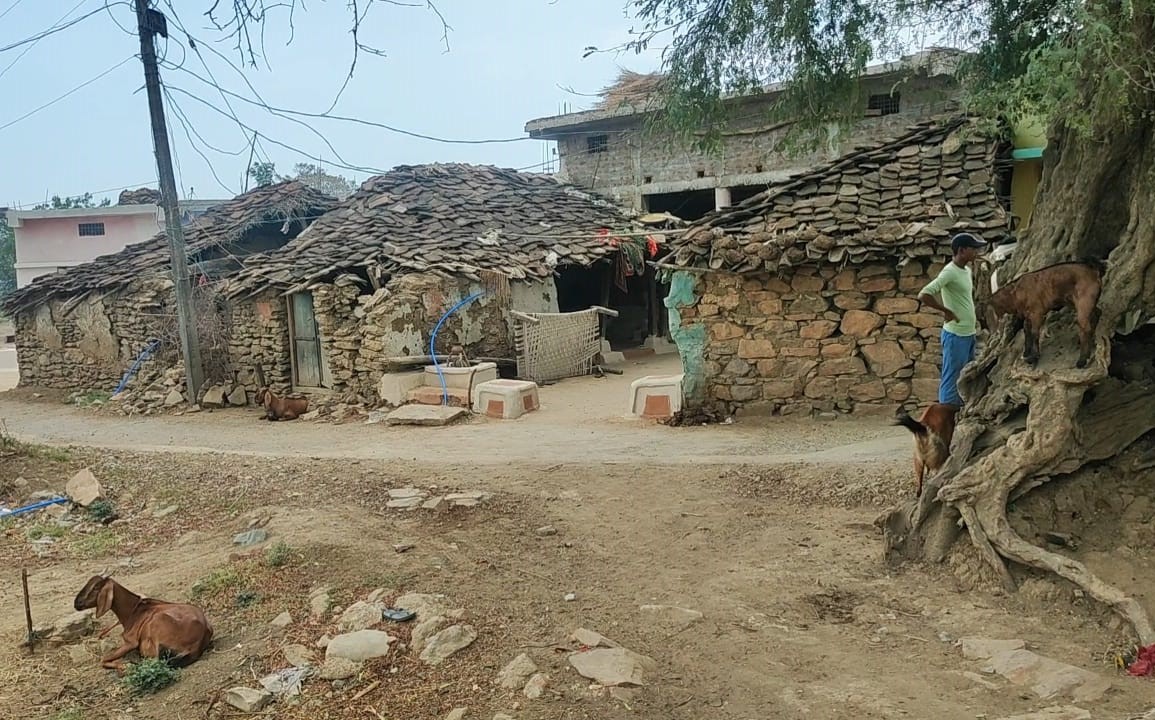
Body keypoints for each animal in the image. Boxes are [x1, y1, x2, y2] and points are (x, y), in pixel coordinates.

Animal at [73, 577, 213, 674]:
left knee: (156, 661)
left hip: (158, 623)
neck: (133, 610)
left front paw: (125, 666)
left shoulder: (131, 642)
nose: (76, 603)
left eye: (95, 587)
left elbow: (103, 659)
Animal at [628, 0, 1155, 647]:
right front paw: (1029, 361)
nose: (992, 256)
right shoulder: (1026, 314)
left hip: (934, 446)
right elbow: (1027, 341)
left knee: (927, 478)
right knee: (1072, 339)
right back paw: (1073, 363)